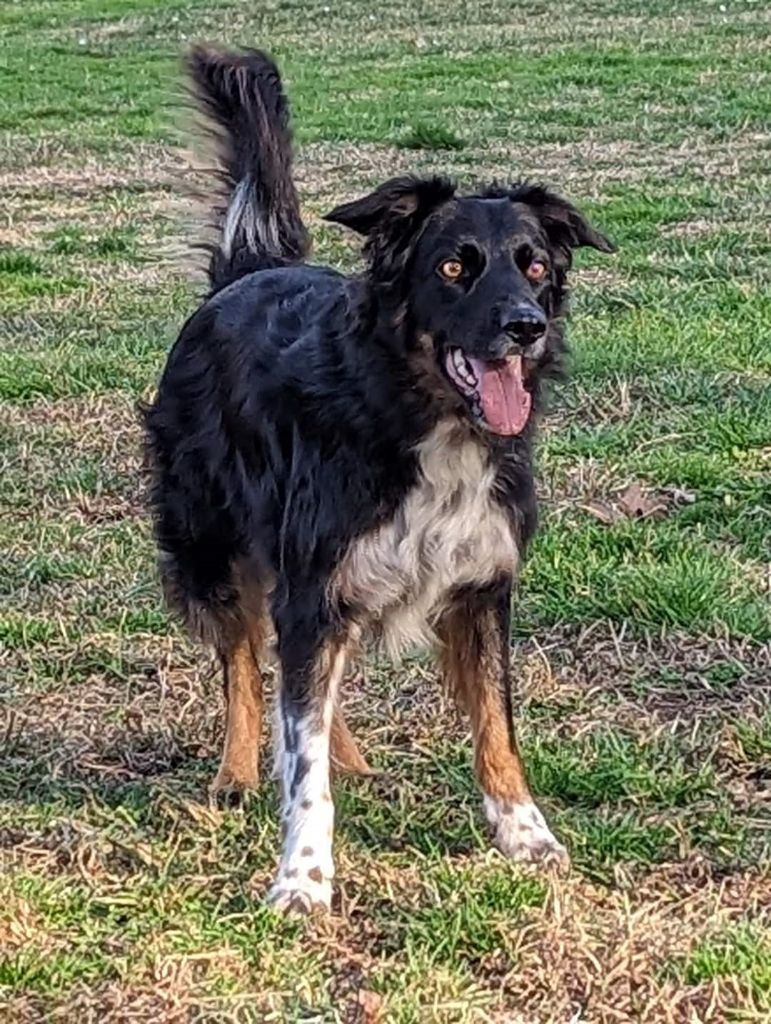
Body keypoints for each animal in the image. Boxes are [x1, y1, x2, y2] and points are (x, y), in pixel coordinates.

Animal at [144, 48, 614, 913]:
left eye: (533, 265)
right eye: (454, 267)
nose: (525, 326)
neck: (418, 420)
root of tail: (247, 271)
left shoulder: (478, 586)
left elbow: (496, 724)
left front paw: (524, 835)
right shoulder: (315, 581)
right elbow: (298, 753)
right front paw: (302, 879)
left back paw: (347, 756)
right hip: (209, 539)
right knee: (244, 660)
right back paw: (237, 770)